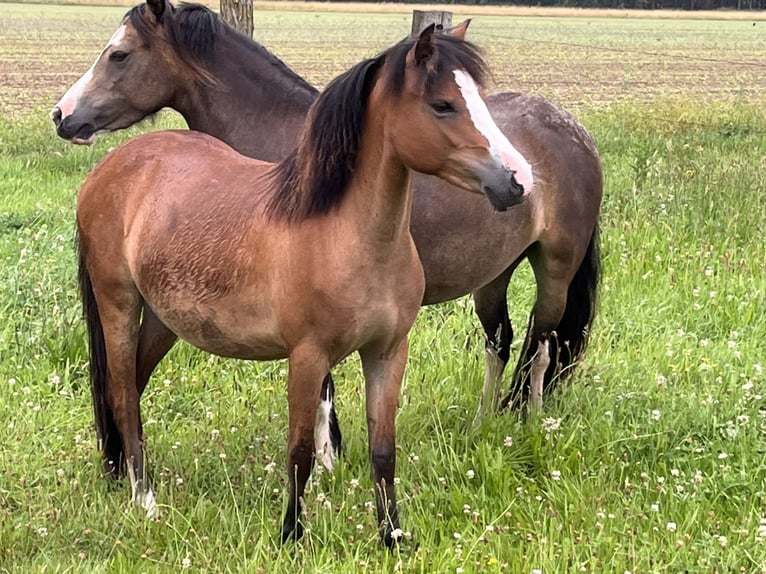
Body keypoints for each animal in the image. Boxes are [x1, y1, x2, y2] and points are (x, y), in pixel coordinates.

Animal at [75, 27, 532, 548]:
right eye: (443, 105)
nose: (518, 180)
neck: (344, 233)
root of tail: (113, 164)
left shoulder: (387, 353)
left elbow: (383, 449)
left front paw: (391, 536)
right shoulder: (308, 356)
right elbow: (300, 451)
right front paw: (291, 535)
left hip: (162, 320)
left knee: (130, 386)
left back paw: (120, 475)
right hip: (119, 304)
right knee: (123, 394)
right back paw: (145, 498)